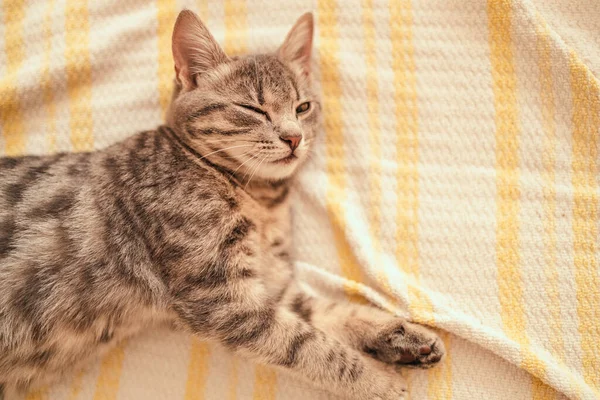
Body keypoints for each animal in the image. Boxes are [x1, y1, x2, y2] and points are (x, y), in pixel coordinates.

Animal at [0, 10, 440, 400]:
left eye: (303, 107)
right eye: (253, 108)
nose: (294, 137)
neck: (259, 199)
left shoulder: (272, 284)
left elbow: (333, 313)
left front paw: (398, 335)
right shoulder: (223, 298)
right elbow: (309, 346)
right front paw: (377, 381)